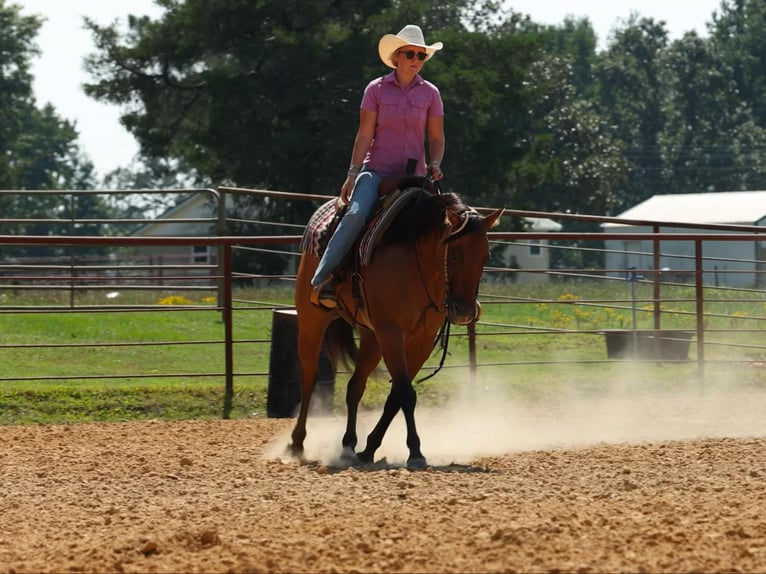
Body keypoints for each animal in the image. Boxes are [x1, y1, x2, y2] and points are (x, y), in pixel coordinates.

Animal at [290, 183, 503, 469]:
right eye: (456, 255)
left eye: (485, 256)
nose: (465, 311)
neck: (417, 262)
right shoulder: (392, 333)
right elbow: (405, 393)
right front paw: (415, 452)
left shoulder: (421, 339)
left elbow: (396, 396)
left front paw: (369, 449)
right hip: (311, 321)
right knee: (309, 377)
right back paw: (297, 443)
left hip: (371, 337)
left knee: (355, 386)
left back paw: (348, 446)